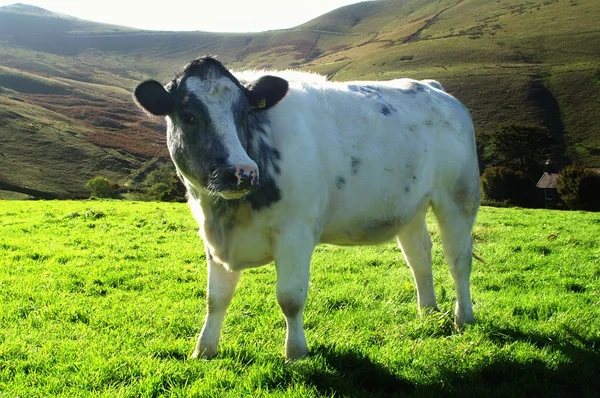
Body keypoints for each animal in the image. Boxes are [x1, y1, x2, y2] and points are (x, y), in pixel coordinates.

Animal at [134, 56, 480, 360]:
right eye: (189, 116)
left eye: (244, 115)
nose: (243, 172)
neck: (228, 215)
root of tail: (431, 86)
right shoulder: (213, 237)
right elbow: (216, 298)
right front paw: (204, 349)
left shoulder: (295, 232)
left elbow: (290, 298)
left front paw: (296, 352)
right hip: (411, 207)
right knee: (419, 256)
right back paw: (428, 313)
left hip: (458, 196)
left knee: (458, 259)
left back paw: (463, 318)